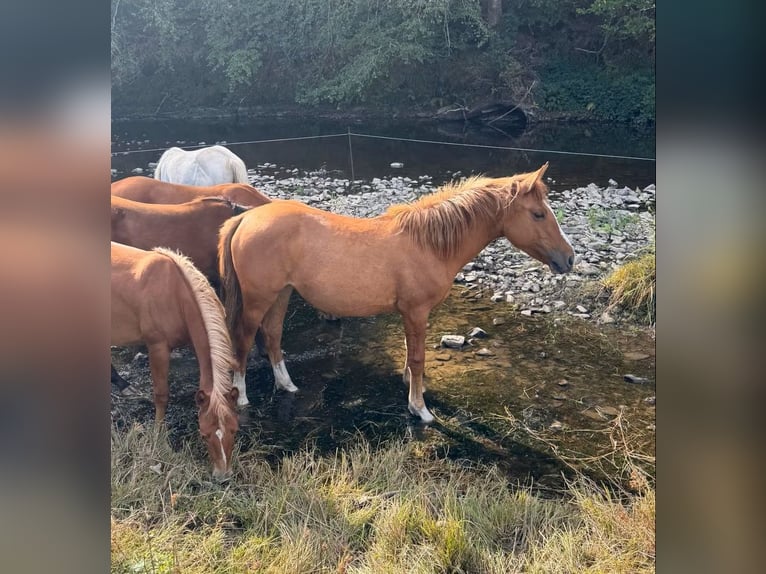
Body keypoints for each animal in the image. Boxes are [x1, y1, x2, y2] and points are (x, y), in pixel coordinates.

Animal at [111, 242, 239, 480]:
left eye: (234, 430)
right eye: (204, 434)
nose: (223, 475)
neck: (175, 293)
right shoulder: (157, 347)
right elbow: (161, 395)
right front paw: (159, 438)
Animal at [217, 163, 574, 421]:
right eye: (538, 214)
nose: (569, 258)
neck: (428, 243)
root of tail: (246, 218)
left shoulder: (409, 313)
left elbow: (409, 352)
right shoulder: (416, 310)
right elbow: (417, 357)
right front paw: (420, 409)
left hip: (282, 294)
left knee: (273, 335)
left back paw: (287, 385)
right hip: (258, 299)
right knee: (244, 339)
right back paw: (242, 396)